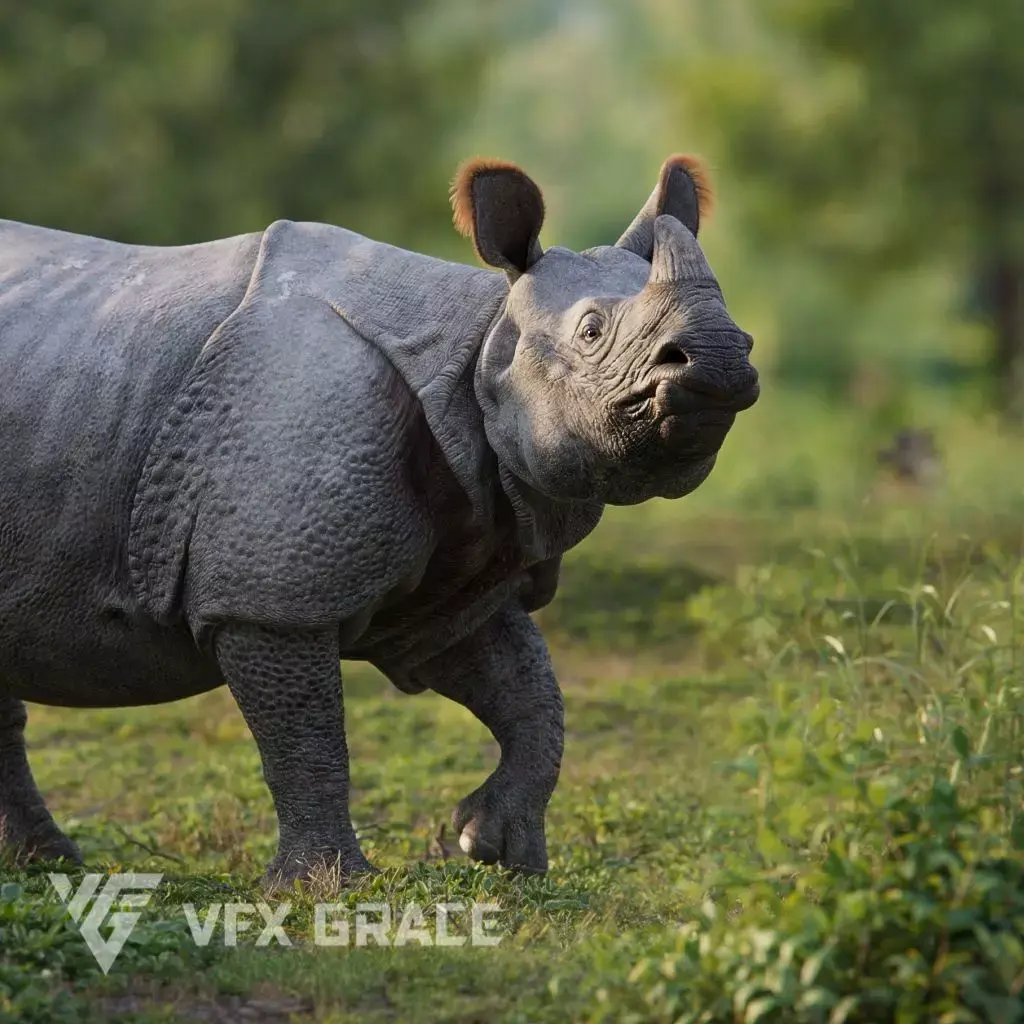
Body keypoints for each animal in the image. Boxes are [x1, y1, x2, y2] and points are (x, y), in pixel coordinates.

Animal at [0, 154, 758, 887]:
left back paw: (46, 865)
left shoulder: (458, 560)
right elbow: (306, 733)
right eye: (593, 331)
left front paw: (494, 849)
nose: (722, 355)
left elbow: (529, 689)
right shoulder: (270, 592)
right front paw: (328, 888)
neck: (477, 345)